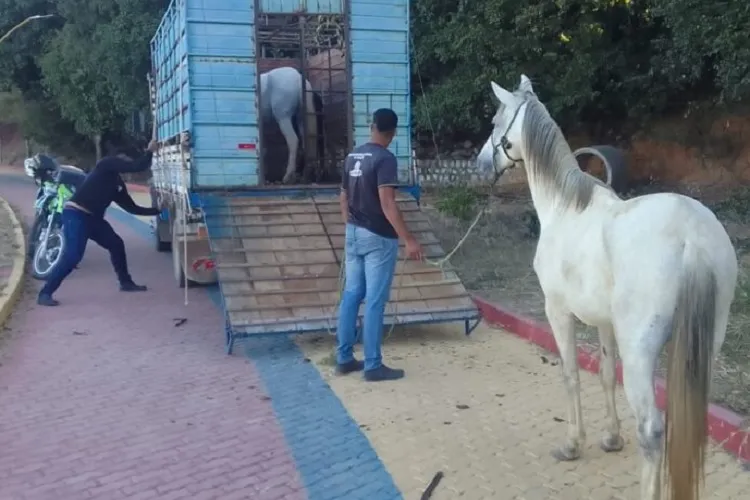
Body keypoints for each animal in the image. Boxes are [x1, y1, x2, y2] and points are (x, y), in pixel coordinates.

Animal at [476, 74, 740, 500]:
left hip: (641, 354)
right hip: (704, 350)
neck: (565, 206)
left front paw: (573, 444)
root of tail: (691, 237)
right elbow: (603, 373)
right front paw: (611, 438)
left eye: (496, 121)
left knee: (651, 429)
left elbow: (570, 373)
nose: (481, 165)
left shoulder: (557, 311)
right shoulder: (604, 323)